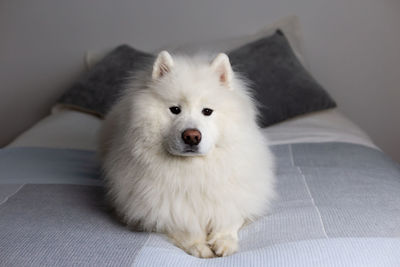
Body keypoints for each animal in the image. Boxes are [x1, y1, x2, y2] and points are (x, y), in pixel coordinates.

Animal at [99, 51, 276, 258]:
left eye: (207, 111)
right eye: (175, 110)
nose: (192, 136)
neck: (194, 171)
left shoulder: (239, 198)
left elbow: (230, 217)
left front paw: (224, 242)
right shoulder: (162, 209)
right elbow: (183, 226)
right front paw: (200, 247)